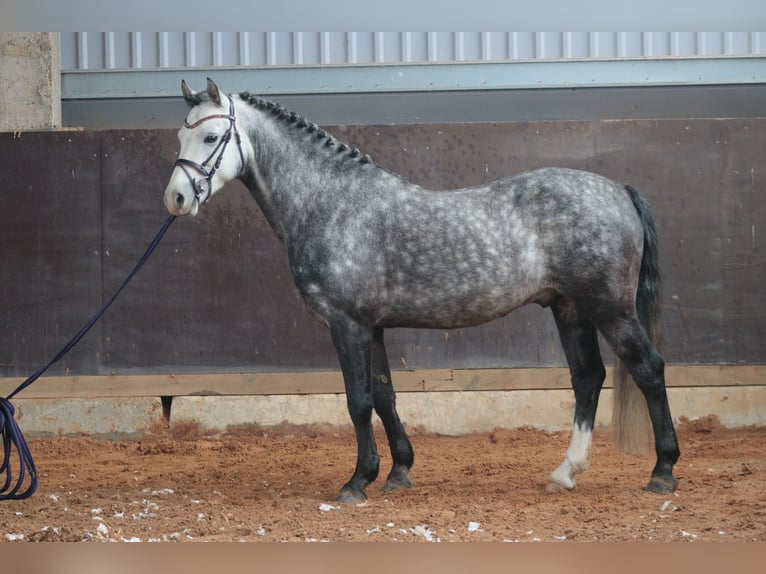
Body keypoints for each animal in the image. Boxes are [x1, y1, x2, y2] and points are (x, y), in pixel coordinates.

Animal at [163, 78, 680, 503]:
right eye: (180, 137)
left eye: (211, 137)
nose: (176, 198)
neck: (334, 204)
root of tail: (618, 190)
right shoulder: (372, 328)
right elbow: (385, 395)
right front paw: (398, 472)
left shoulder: (347, 325)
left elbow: (358, 401)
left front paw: (357, 481)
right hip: (570, 308)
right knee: (588, 377)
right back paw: (565, 472)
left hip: (610, 309)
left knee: (648, 370)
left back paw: (662, 471)